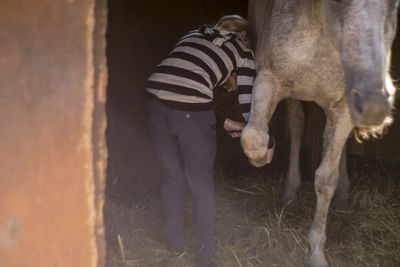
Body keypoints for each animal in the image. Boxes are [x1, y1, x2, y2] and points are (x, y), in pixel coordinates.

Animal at [241, 0, 400, 267]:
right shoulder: (268, 78)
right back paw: (290, 192)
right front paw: (261, 158)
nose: (375, 102)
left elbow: (326, 178)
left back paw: (343, 192)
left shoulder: (344, 107)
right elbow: (254, 138)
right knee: (296, 126)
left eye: (394, 4)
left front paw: (316, 252)